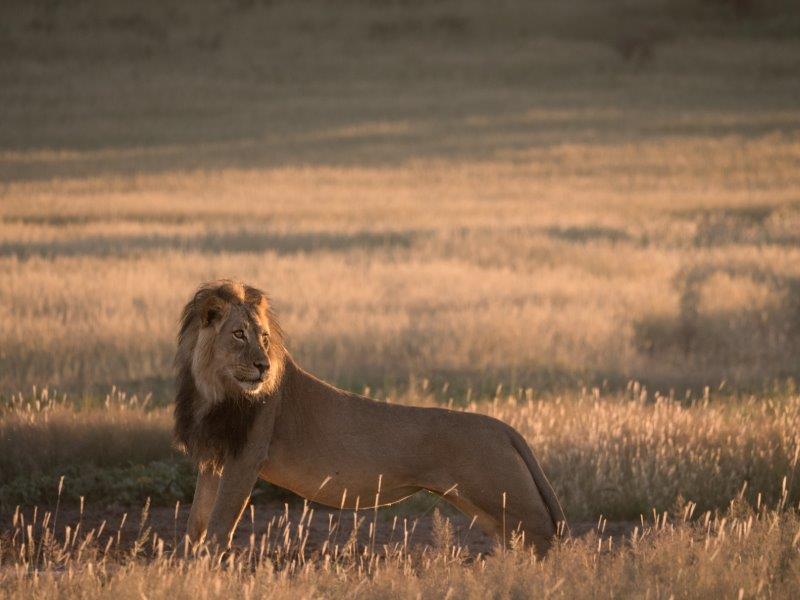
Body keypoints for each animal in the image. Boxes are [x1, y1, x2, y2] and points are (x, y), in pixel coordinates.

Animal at [173, 278, 568, 556]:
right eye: (239, 334)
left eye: (265, 338)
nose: (263, 366)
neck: (211, 389)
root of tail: (504, 428)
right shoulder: (214, 460)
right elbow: (197, 522)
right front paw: (188, 567)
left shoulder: (247, 457)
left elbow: (219, 526)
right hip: (494, 510)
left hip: (512, 503)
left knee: (549, 540)